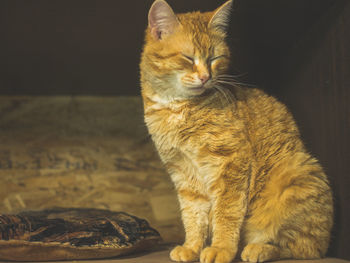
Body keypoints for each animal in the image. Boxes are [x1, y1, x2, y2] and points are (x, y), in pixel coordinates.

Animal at [139, 1, 334, 262]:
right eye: (188, 58)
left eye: (214, 58)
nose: (205, 77)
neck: (177, 108)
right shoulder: (183, 171)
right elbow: (193, 215)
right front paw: (192, 247)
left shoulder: (231, 162)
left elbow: (226, 212)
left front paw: (221, 248)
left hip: (295, 177)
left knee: (301, 248)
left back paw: (258, 248)